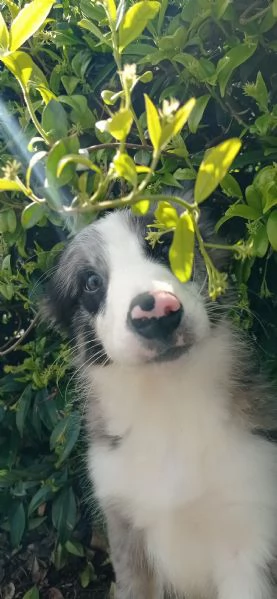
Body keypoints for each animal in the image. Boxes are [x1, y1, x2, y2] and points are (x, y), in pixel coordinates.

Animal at [44, 203, 276, 599]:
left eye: (166, 243)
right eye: (91, 282)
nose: (156, 312)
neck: (168, 401)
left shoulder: (249, 537)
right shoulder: (126, 536)